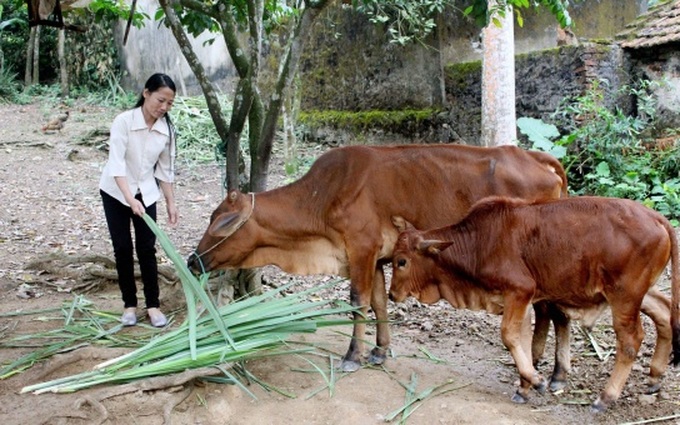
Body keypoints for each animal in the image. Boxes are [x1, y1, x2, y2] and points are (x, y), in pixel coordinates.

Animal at [187, 142, 568, 372]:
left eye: (220, 223)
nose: (191, 261)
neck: (321, 198)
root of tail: (538, 158)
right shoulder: (378, 258)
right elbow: (379, 301)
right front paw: (380, 350)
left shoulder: (361, 249)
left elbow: (358, 300)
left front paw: (352, 355)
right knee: (548, 310)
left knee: (549, 310)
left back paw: (548, 371)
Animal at [388, 196, 680, 410]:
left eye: (401, 261)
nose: (391, 294)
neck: (479, 242)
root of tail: (658, 218)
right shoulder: (523, 298)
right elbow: (525, 340)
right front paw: (524, 387)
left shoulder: (519, 291)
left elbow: (509, 336)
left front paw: (537, 381)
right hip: (640, 292)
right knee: (664, 314)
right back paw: (654, 378)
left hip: (623, 296)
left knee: (631, 341)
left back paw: (605, 398)